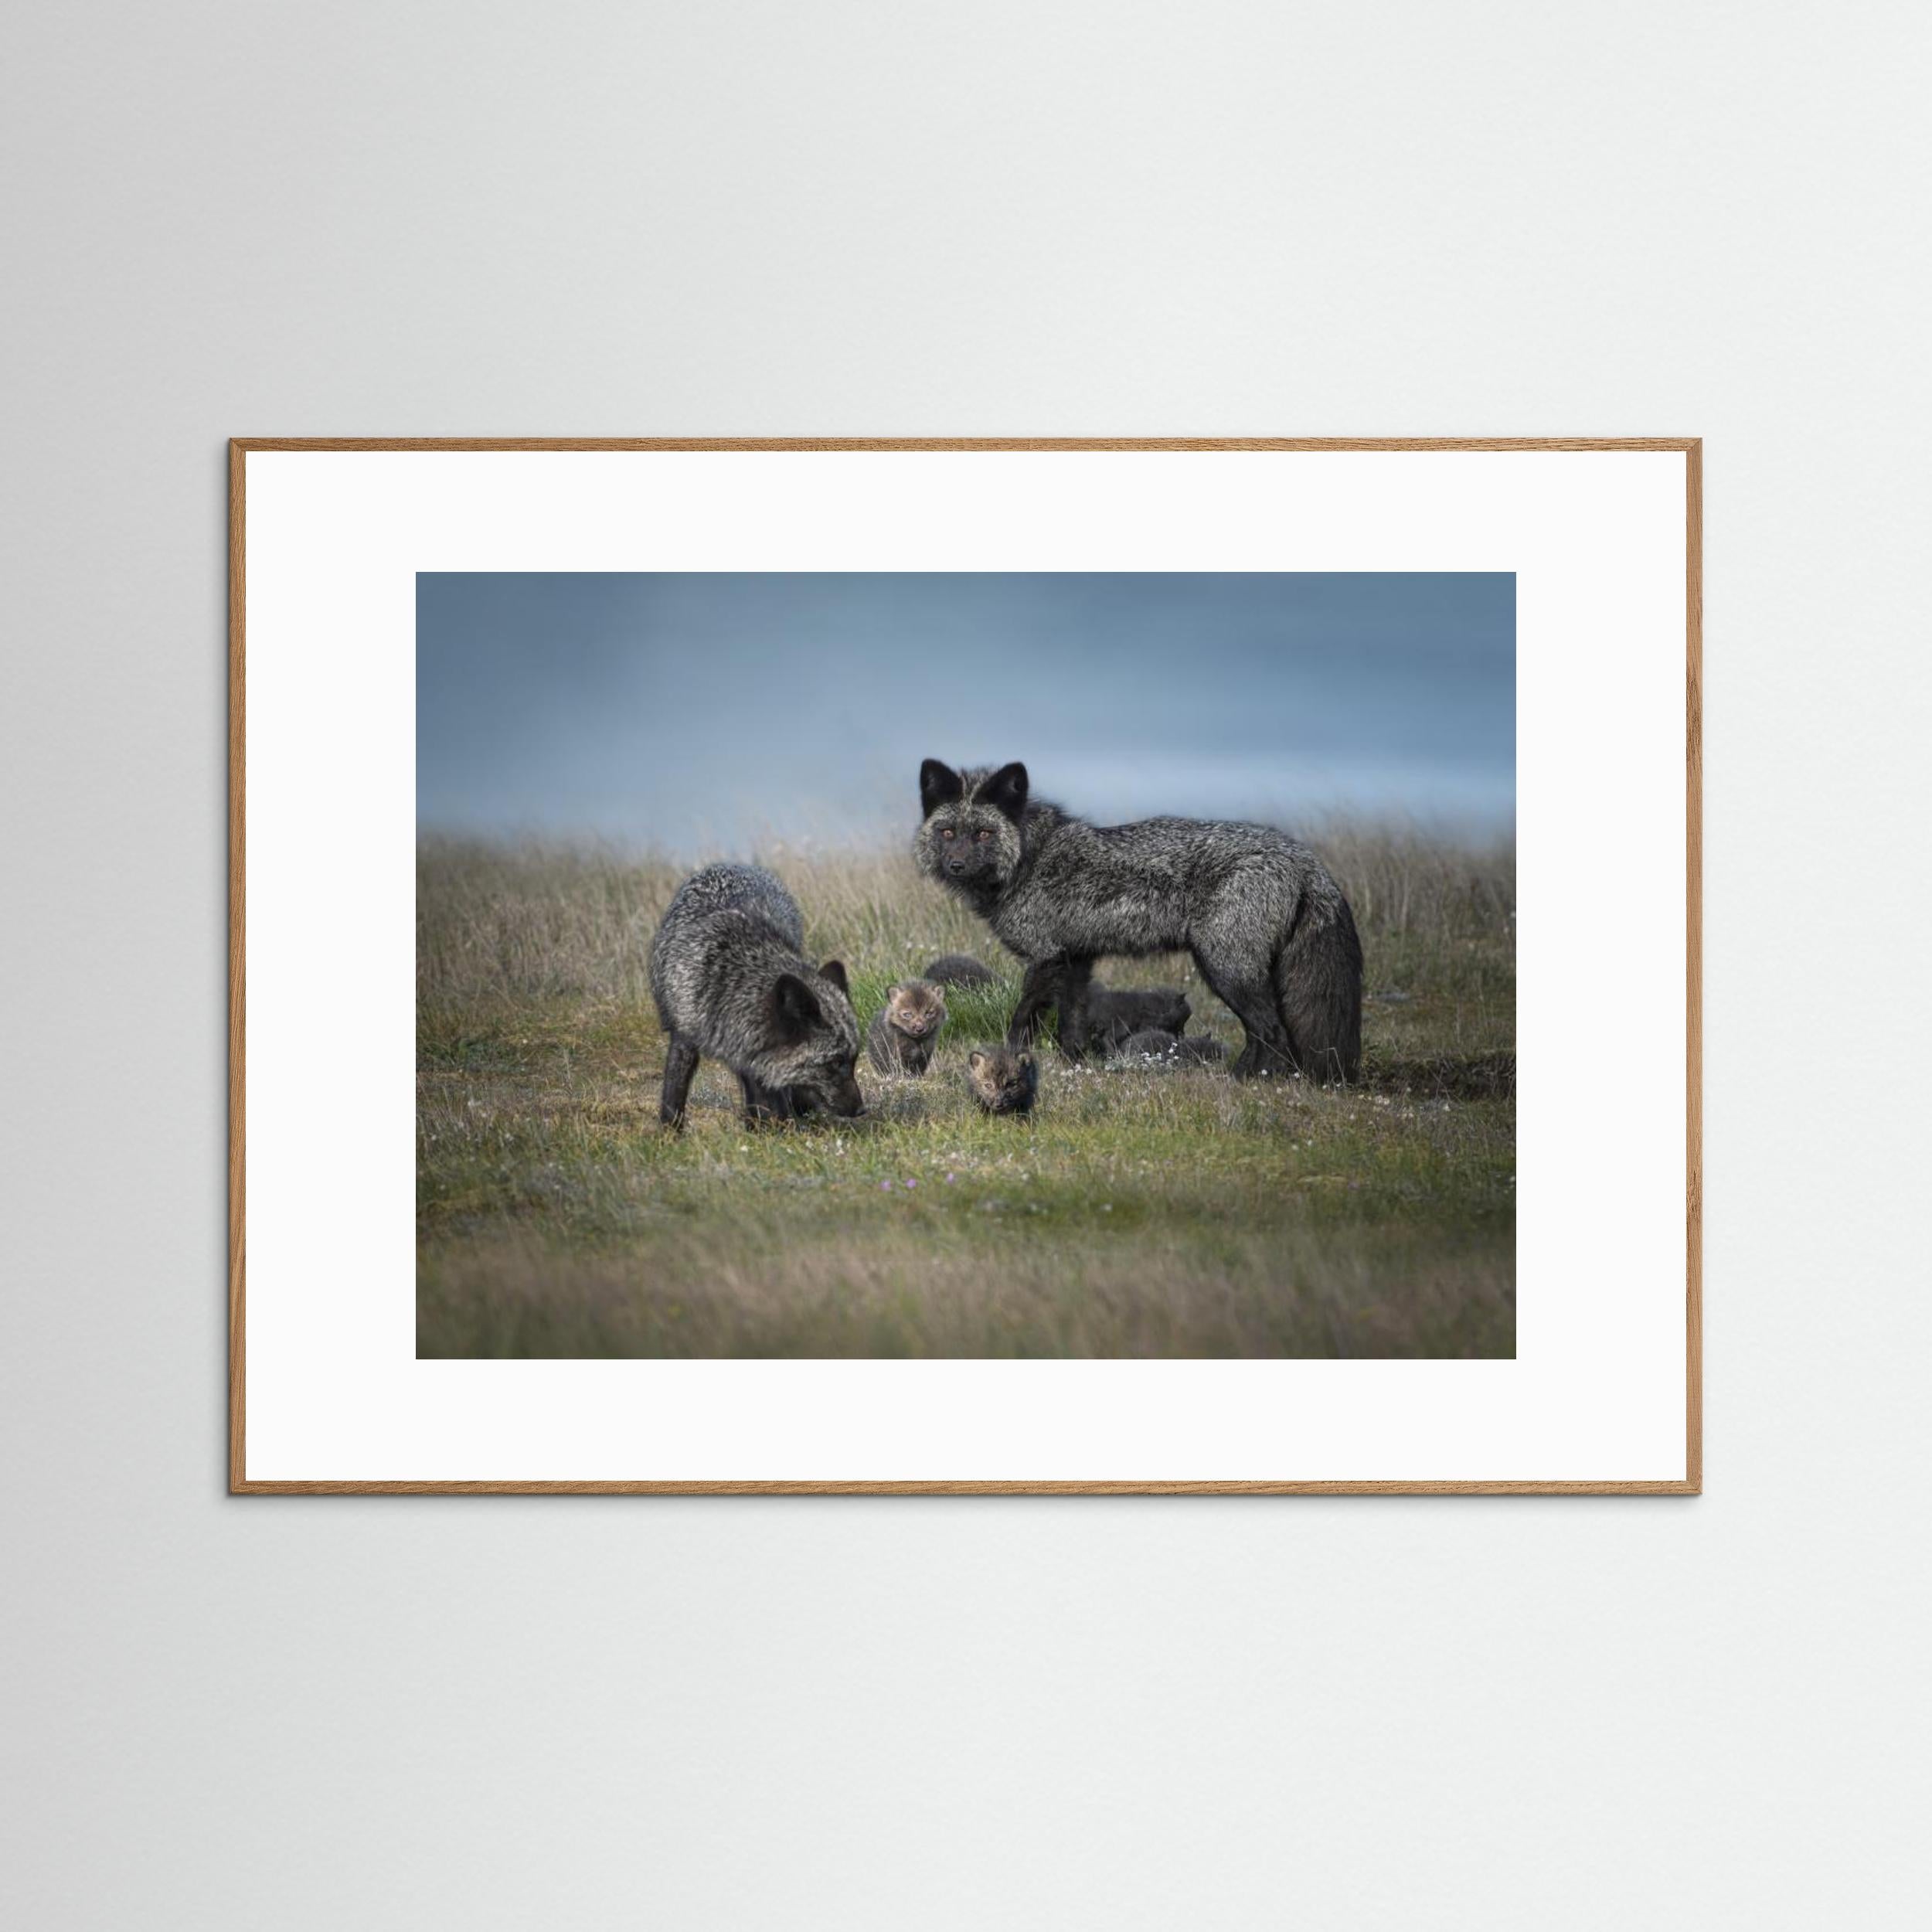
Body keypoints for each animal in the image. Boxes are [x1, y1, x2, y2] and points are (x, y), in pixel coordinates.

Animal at [649, 862, 863, 1128]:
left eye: (854, 1059)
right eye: (834, 1063)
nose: (861, 1110)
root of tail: (729, 864)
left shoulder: (753, 1053)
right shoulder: (684, 1037)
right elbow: (674, 1091)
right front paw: (670, 1131)